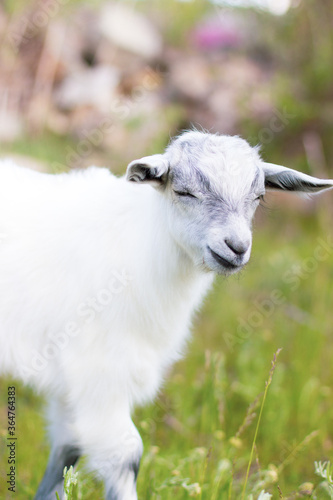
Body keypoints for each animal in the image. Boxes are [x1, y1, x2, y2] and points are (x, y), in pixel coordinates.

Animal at [0, 131, 332, 498]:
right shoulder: (99, 371)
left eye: (258, 197)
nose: (236, 246)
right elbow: (125, 453)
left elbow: (67, 449)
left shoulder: (72, 382)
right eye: (183, 191)